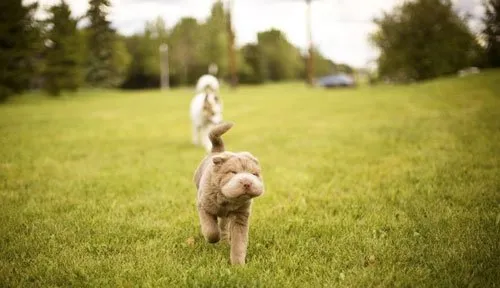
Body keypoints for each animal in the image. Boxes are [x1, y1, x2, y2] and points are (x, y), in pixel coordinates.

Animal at [194, 122, 266, 266]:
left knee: (224, 227)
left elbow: (239, 243)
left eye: (254, 174)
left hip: (226, 218)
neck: (227, 198)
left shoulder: (240, 217)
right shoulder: (203, 207)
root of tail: (217, 151)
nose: (247, 183)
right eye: (233, 172)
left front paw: (238, 265)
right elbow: (210, 230)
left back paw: (225, 242)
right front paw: (213, 238)